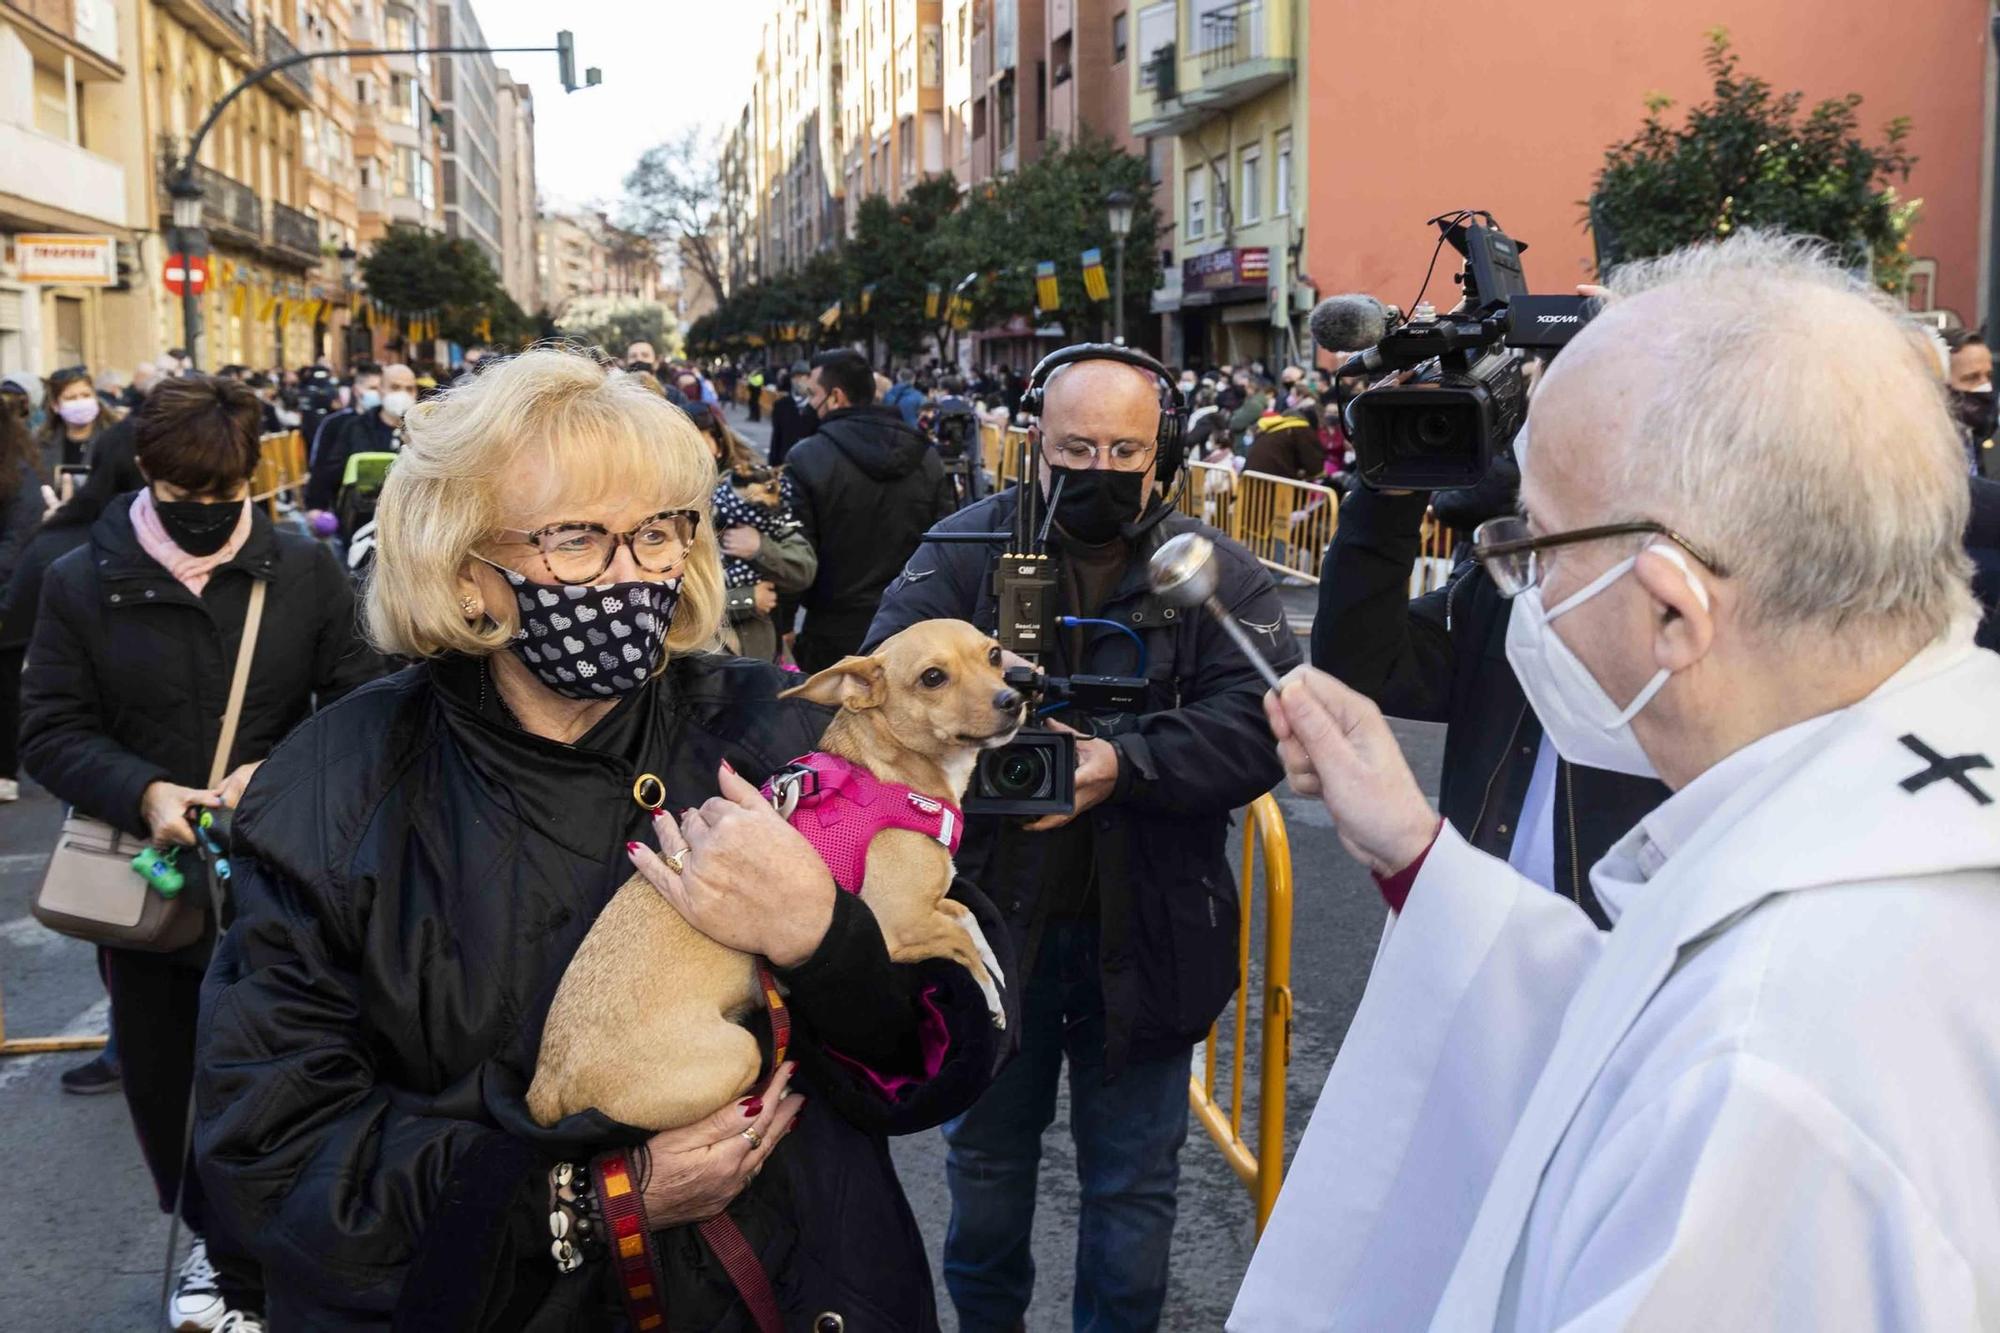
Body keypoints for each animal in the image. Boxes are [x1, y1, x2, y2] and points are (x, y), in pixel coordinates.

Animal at [524, 616, 1024, 1128]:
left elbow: (965, 915)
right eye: (932, 678)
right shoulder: (896, 928)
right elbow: (960, 940)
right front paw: (992, 998)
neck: (891, 778)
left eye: (994, 655)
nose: (1013, 700)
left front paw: (996, 971)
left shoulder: (931, 905)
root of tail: (546, 1086)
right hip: (736, 1055)